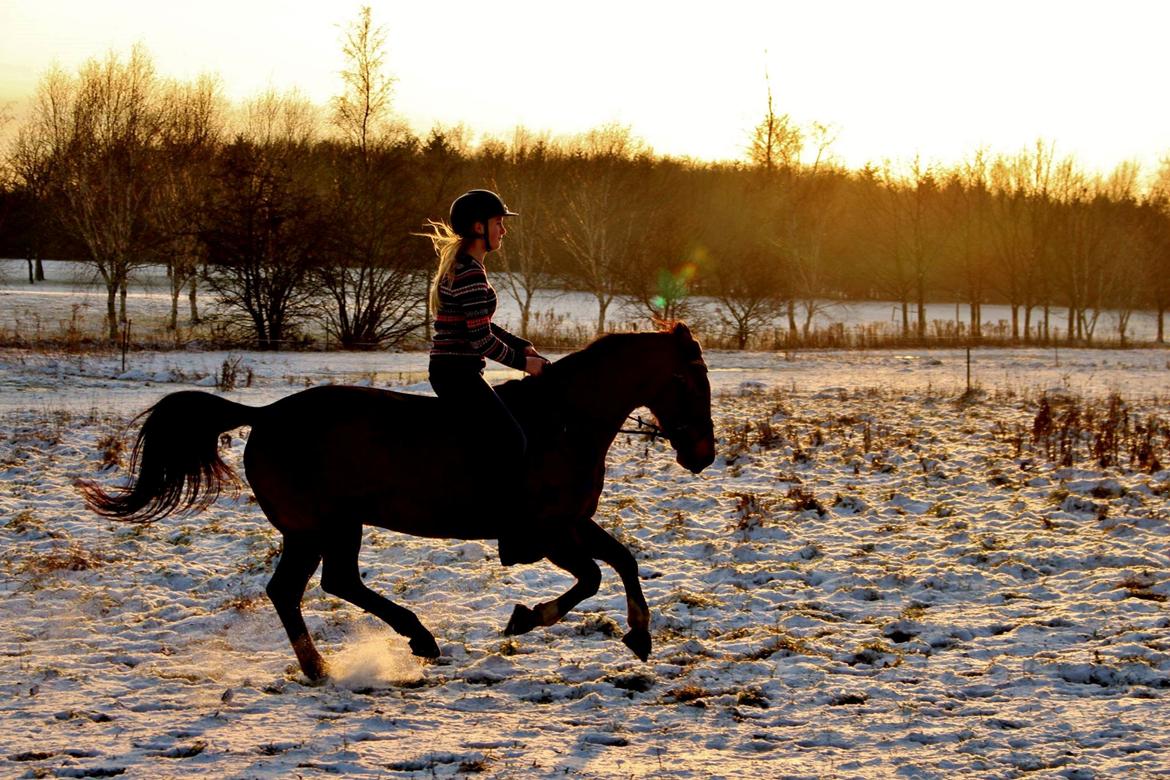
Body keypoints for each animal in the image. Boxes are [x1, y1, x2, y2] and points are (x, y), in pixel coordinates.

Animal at [80, 320, 711, 678]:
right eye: (686, 381)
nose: (702, 454)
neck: (566, 423)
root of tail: (266, 415)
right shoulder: (550, 532)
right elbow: (591, 578)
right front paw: (525, 618)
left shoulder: (574, 523)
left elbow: (623, 562)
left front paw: (640, 636)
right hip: (320, 526)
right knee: (307, 587)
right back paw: (362, 655)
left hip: (330, 527)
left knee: (322, 585)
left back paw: (374, 651)